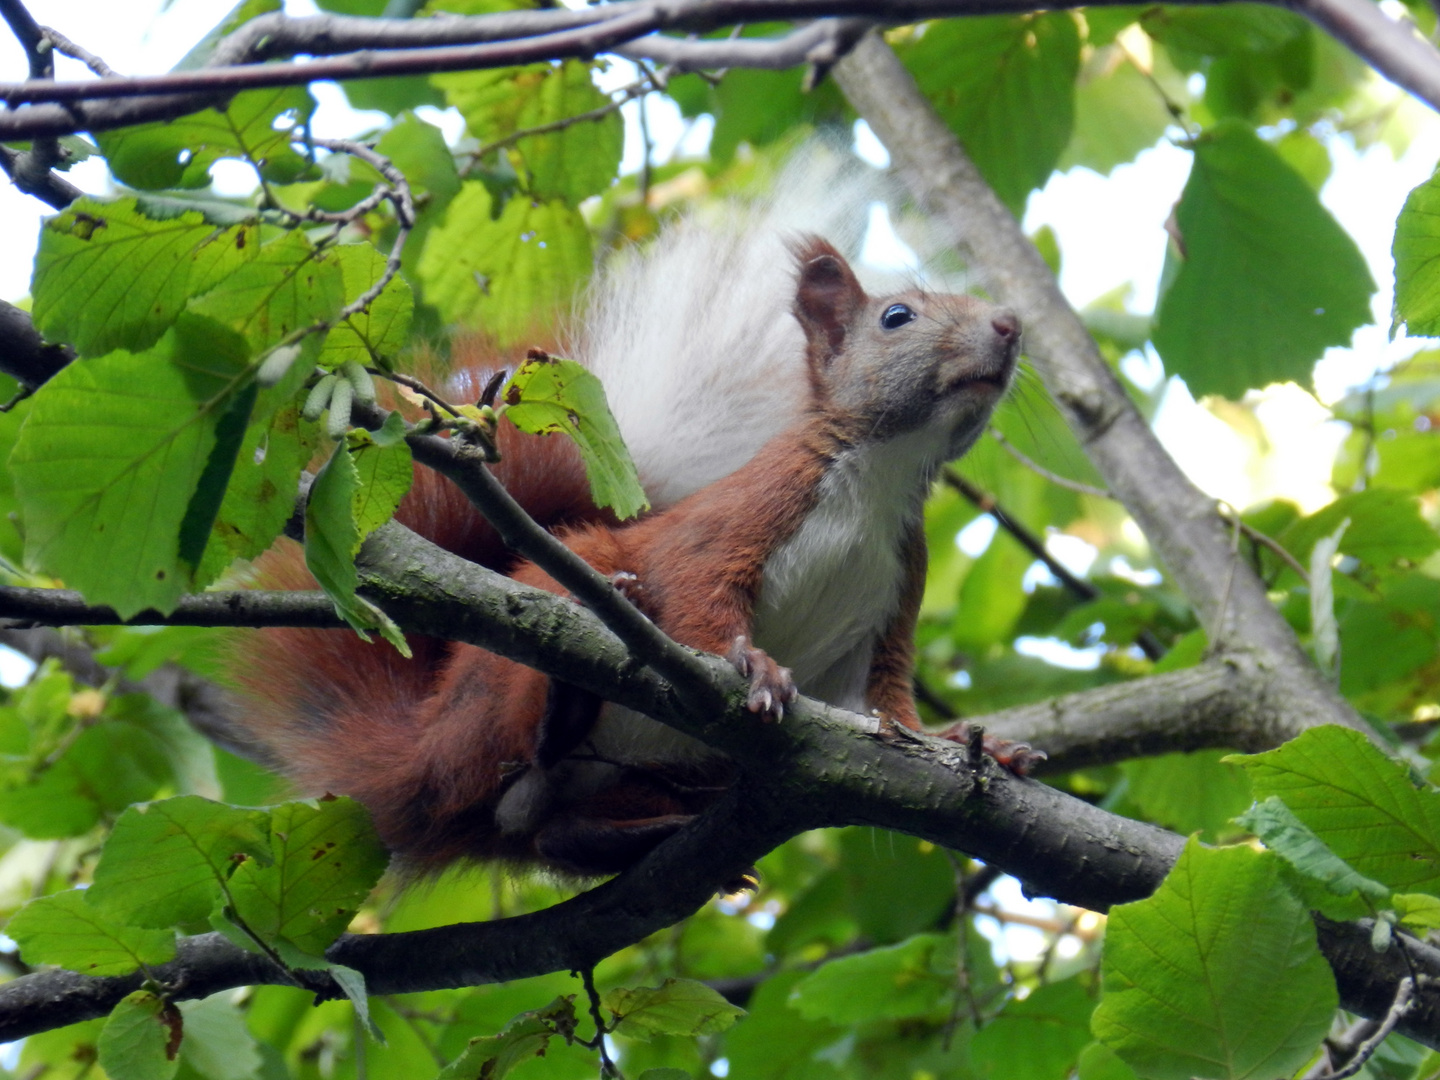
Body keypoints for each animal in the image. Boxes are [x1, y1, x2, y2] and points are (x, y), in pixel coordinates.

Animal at [230, 184, 1031, 881]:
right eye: (897, 316)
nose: (1011, 326)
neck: (880, 477)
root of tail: (422, 759)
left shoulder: (894, 597)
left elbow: (885, 705)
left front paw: (967, 744)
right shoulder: (740, 518)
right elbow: (702, 597)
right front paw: (752, 665)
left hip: (671, 777)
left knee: (543, 829)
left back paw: (617, 834)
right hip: (517, 652)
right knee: (527, 748)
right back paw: (566, 706)